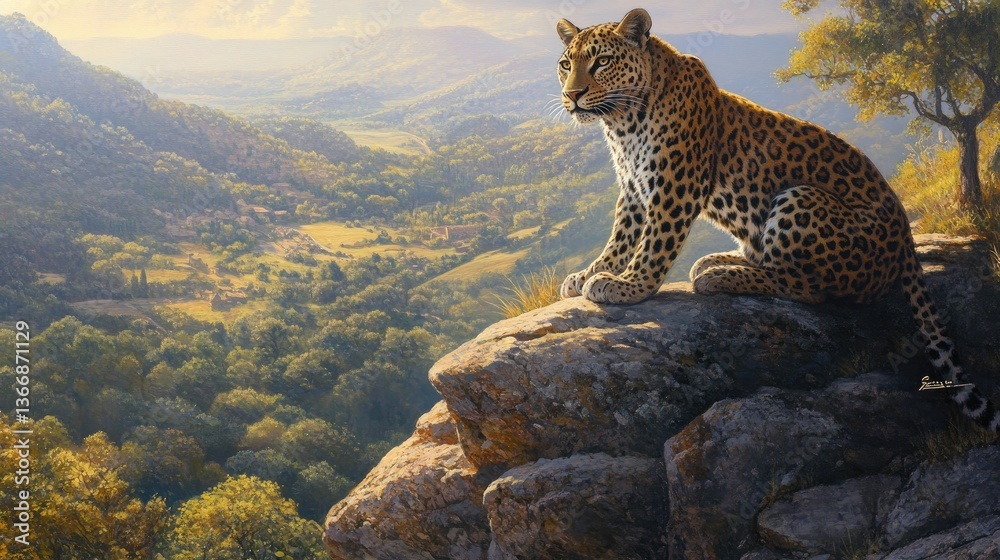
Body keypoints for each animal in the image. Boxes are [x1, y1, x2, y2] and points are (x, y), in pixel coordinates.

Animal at [555, 8, 999, 433]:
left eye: (602, 62)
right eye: (566, 64)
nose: (572, 95)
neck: (623, 123)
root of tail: (907, 237)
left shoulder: (676, 185)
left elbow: (654, 244)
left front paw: (628, 286)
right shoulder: (633, 187)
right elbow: (621, 237)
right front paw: (589, 274)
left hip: (800, 198)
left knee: (805, 287)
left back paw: (720, 276)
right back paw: (721, 261)